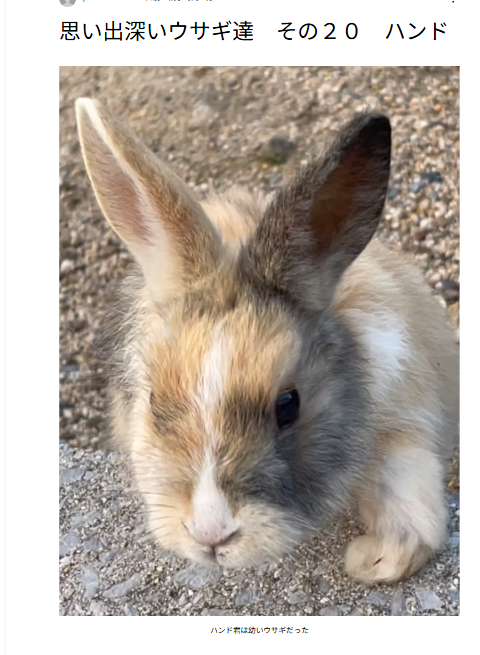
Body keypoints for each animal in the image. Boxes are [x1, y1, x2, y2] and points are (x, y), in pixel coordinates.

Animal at [75, 98, 459, 584]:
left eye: (288, 405)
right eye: (155, 402)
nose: (211, 535)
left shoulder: (405, 422)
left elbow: (409, 507)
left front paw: (373, 560)